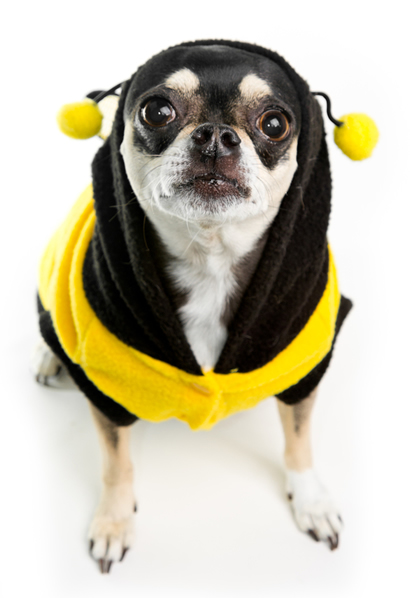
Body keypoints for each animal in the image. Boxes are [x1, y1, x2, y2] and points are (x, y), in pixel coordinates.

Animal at [33, 39, 350, 576]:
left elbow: (299, 439)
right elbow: (116, 464)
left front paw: (312, 501)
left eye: (275, 123)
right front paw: (114, 523)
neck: (210, 261)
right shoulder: (105, 393)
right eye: (157, 111)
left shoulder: (304, 370)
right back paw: (49, 357)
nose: (217, 136)